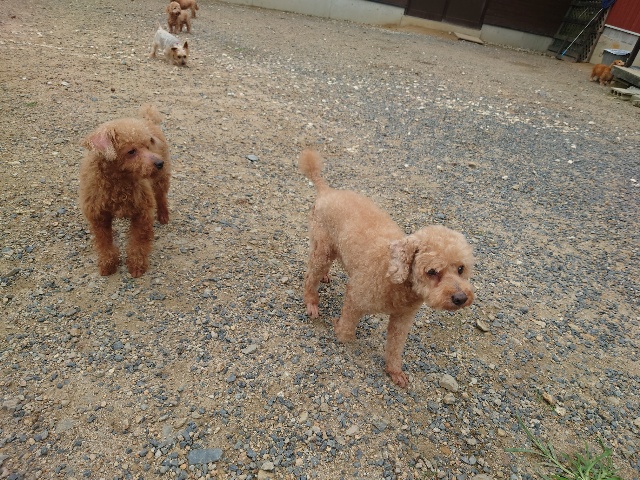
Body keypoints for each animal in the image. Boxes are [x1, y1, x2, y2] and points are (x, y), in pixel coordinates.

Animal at [79, 105, 171, 278]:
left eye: (148, 145)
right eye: (131, 151)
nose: (159, 163)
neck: (119, 182)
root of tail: (147, 120)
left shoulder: (142, 213)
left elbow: (138, 243)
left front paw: (137, 266)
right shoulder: (98, 217)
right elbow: (104, 243)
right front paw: (108, 265)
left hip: (162, 178)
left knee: (161, 196)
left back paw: (163, 216)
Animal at [299, 149, 475, 387]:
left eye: (461, 268)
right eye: (432, 272)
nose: (460, 298)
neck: (397, 281)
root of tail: (327, 190)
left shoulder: (403, 319)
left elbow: (395, 347)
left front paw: (394, 372)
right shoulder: (356, 297)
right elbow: (347, 330)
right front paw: (338, 329)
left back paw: (325, 277)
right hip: (322, 248)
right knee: (310, 276)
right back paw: (312, 302)